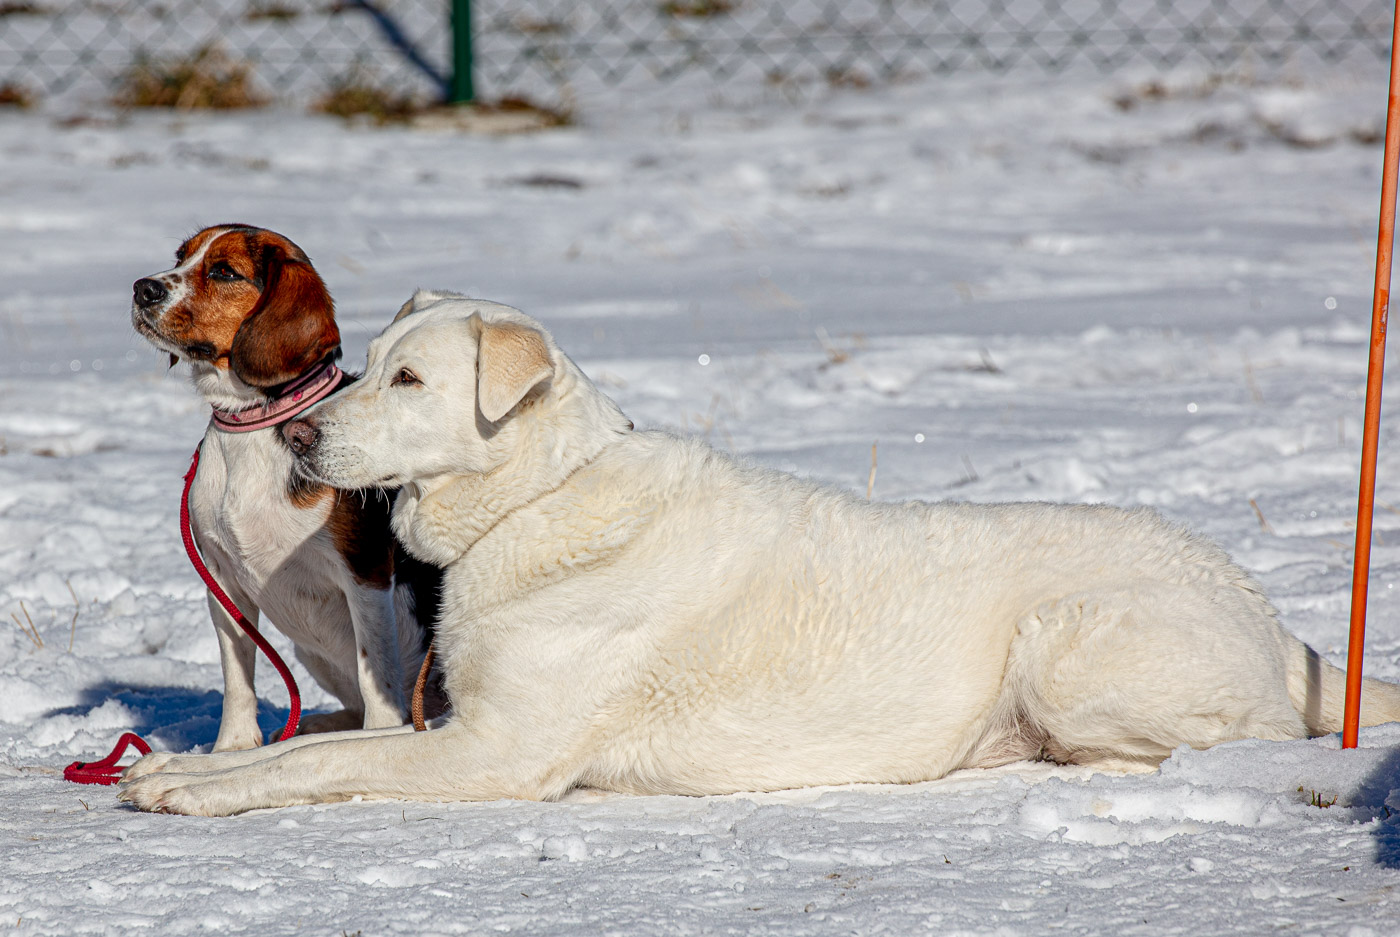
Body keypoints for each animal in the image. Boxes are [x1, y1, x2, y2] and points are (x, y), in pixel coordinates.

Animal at [123, 289, 1400, 812]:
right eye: (369, 362)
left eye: (410, 381)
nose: (297, 429)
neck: (537, 501)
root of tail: (1280, 630)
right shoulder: (462, 723)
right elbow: (299, 748)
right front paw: (178, 770)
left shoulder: (497, 749)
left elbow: (313, 764)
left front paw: (193, 791)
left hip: (1069, 643)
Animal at [131, 222, 439, 750]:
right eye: (180, 257)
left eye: (223, 272)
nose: (141, 288)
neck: (252, 424)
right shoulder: (222, 582)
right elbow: (238, 676)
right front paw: (232, 749)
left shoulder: (365, 574)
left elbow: (374, 672)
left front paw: (377, 737)